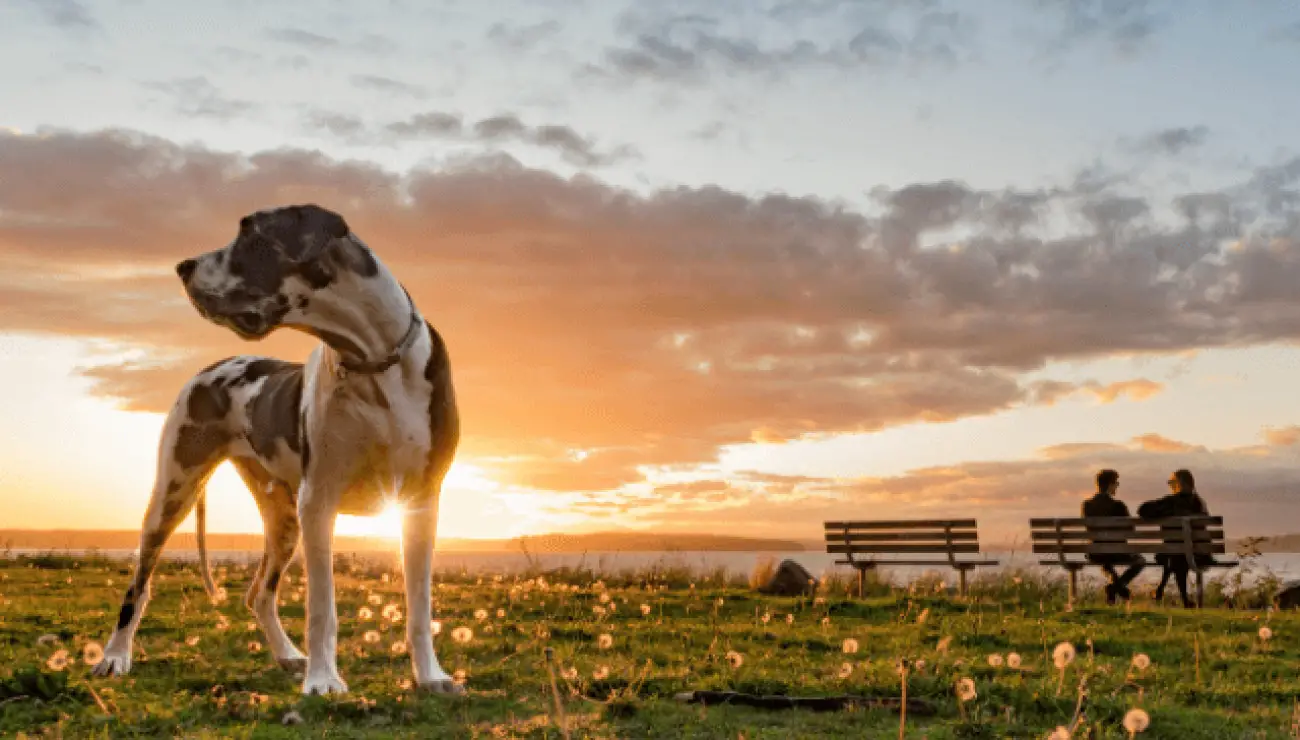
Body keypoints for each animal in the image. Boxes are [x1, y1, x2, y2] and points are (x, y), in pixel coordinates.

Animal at [90, 201, 462, 691]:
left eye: (251, 235)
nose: (183, 266)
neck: (372, 359)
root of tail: (213, 366)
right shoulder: (318, 501)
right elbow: (322, 606)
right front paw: (324, 681)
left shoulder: (420, 500)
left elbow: (419, 604)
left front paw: (430, 676)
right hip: (173, 491)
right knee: (139, 585)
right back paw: (115, 656)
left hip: (283, 520)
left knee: (259, 594)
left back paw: (287, 655)